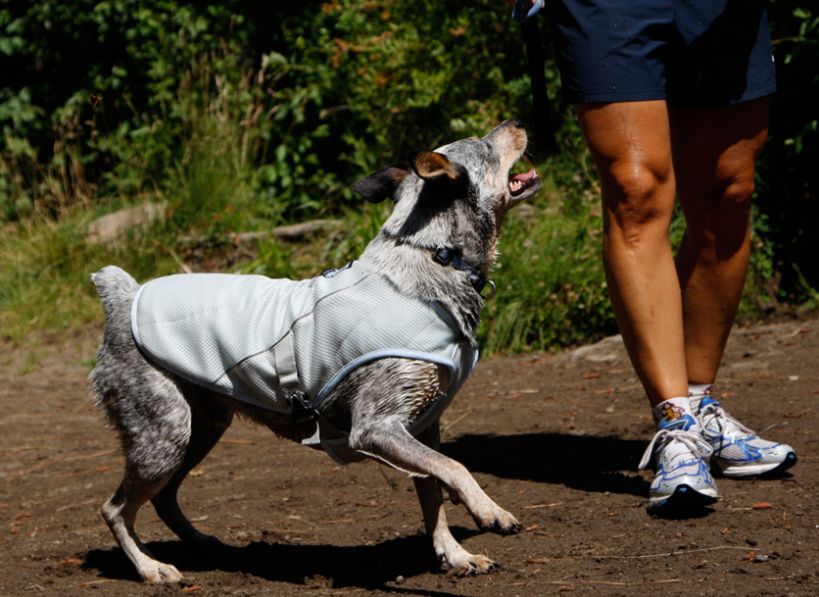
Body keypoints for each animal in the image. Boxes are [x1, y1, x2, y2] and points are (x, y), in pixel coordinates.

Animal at [89, 121, 540, 584]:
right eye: (486, 144)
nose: (515, 123)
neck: (436, 260)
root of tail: (124, 296)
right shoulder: (376, 428)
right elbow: (454, 467)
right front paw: (489, 510)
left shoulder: (423, 425)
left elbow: (433, 496)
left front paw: (456, 555)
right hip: (164, 436)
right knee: (115, 509)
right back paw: (152, 568)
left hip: (201, 429)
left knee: (162, 498)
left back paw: (202, 544)